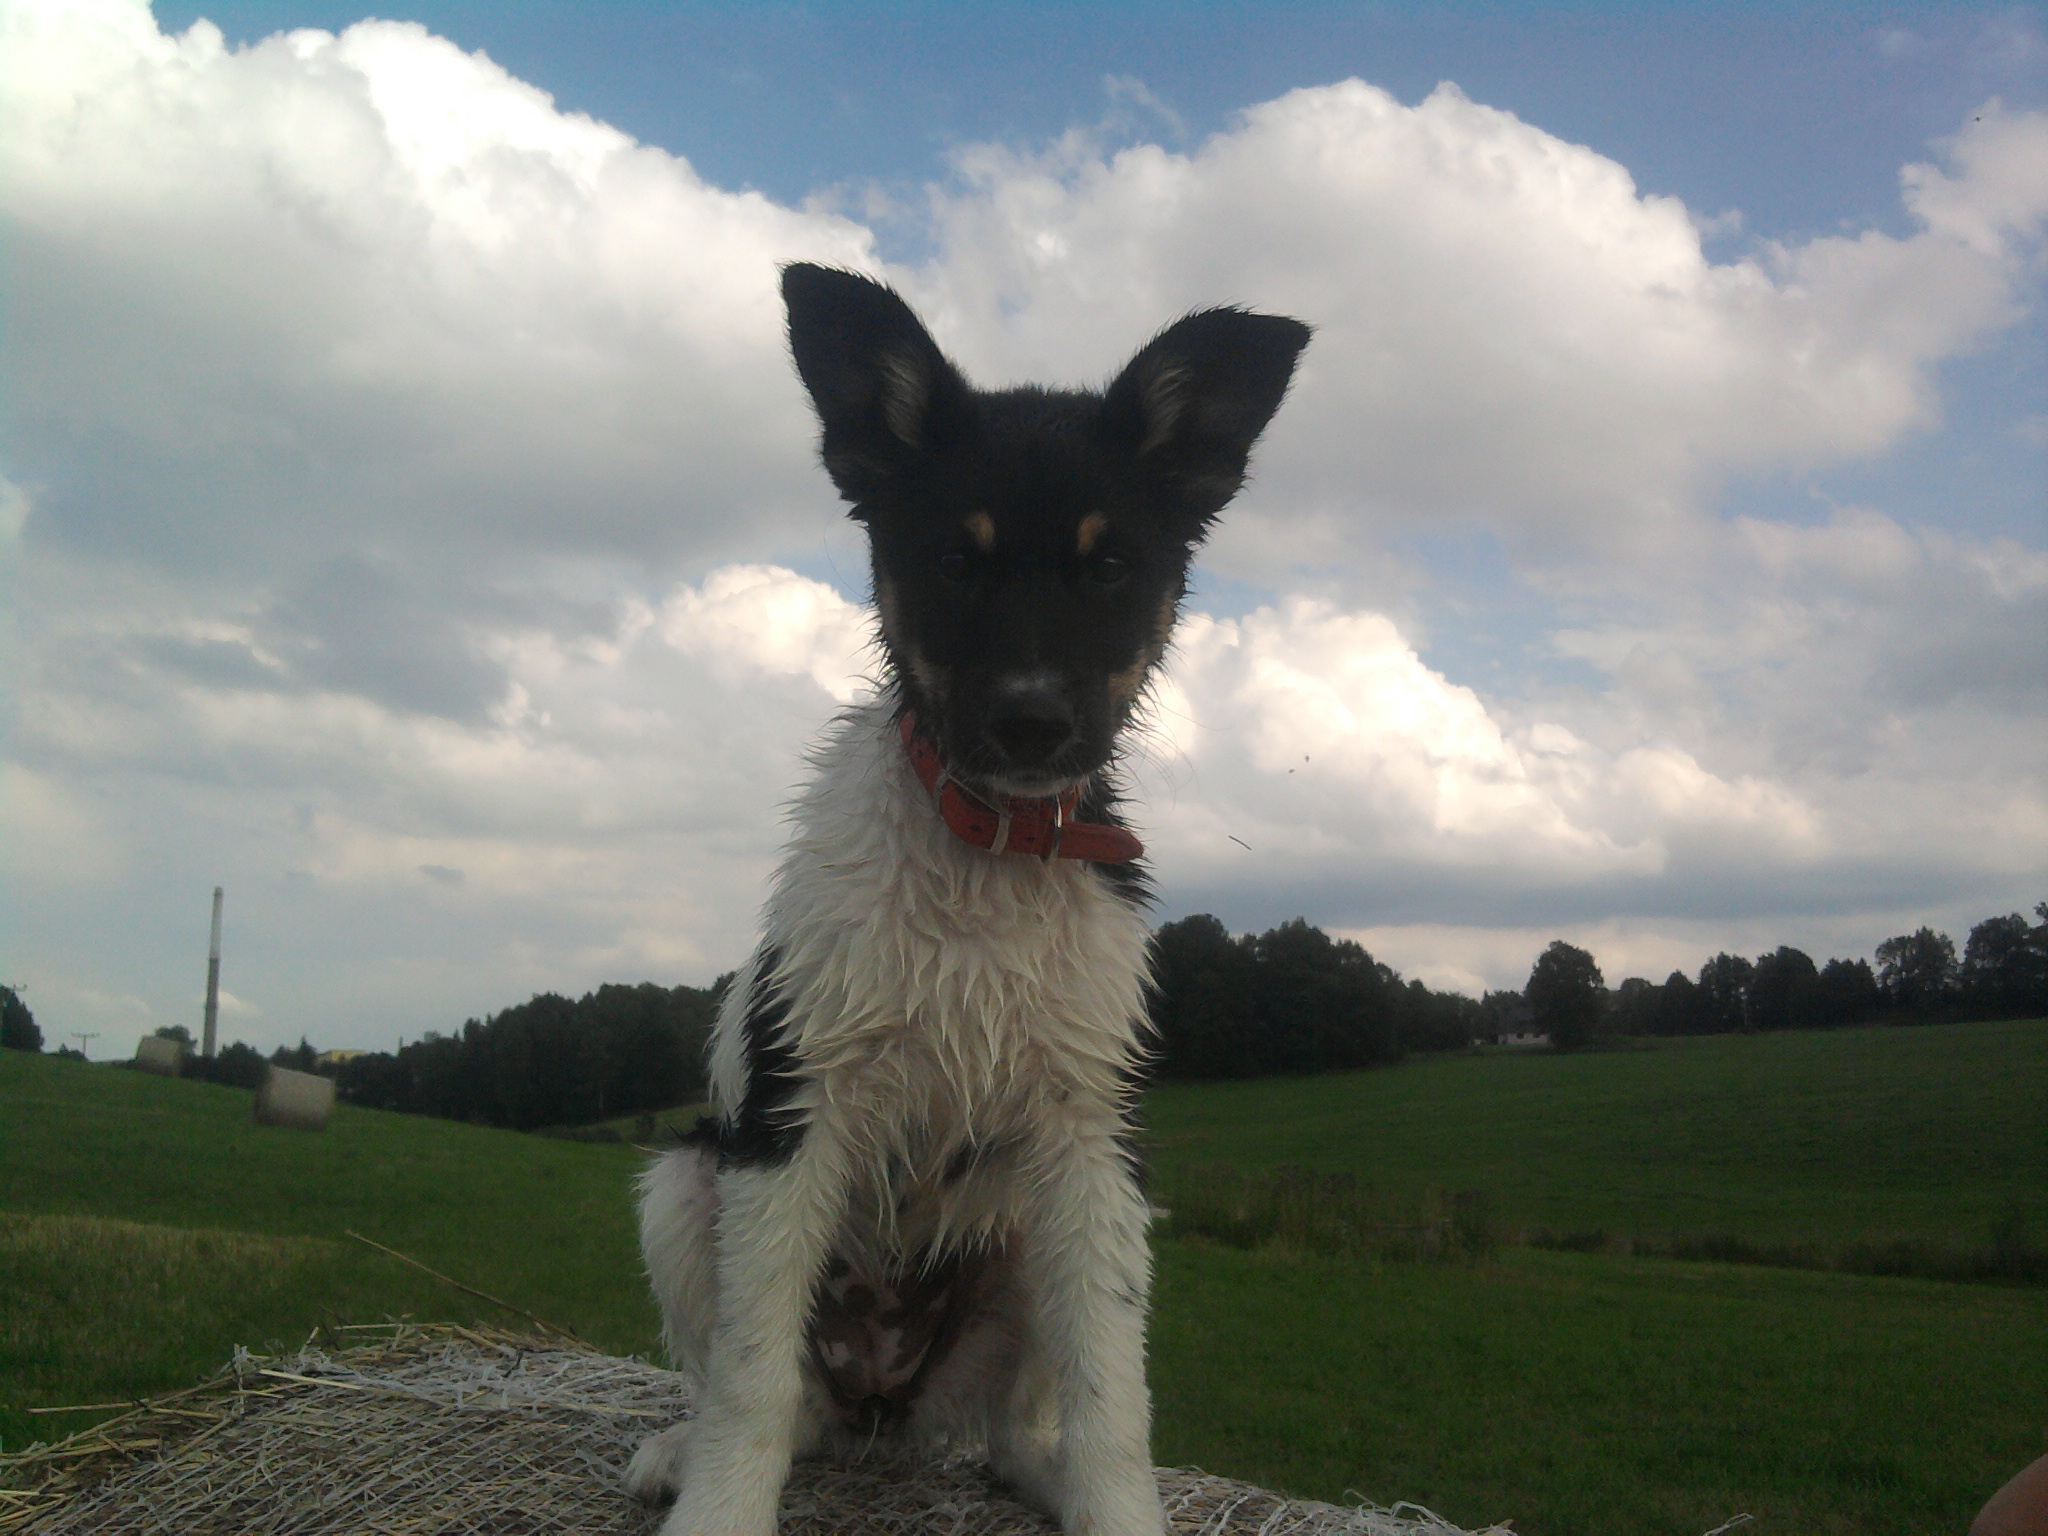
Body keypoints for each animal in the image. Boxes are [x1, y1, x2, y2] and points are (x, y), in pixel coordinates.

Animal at [622, 268, 1318, 1536]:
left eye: (1109, 567)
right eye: (954, 559)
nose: (1032, 725)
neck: (986, 852)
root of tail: (883, 1404)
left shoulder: (1091, 1140)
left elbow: (1111, 1388)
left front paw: (1116, 1509)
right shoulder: (794, 1117)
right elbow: (748, 1376)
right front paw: (717, 1509)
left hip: (1037, 1239)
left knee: (1007, 1425)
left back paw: (1034, 1470)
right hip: (686, 1182)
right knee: (775, 1393)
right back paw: (675, 1452)